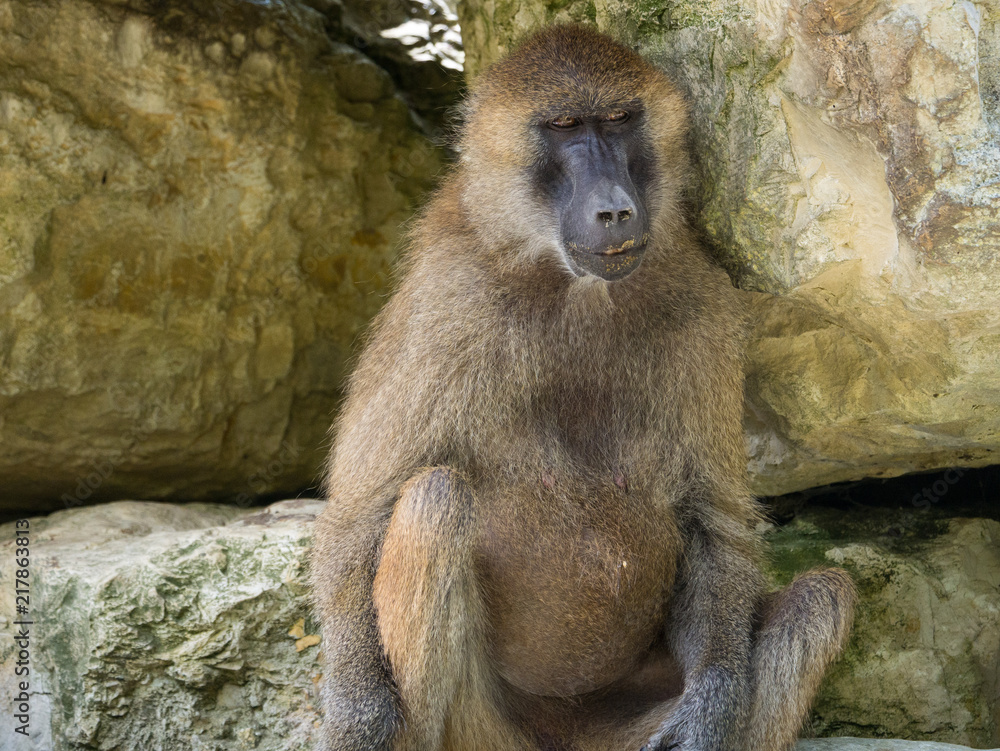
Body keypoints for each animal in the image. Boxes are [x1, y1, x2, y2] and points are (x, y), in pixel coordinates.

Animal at [310, 24, 856, 751]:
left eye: (620, 120)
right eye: (566, 126)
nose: (615, 209)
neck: (575, 288)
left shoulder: (707, 305)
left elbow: (714, 516)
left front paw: (711, 706)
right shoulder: (446, 300)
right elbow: (359, 514)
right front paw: (358, 718)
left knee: (823, 598)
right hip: (481, 731)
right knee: (435, 498)